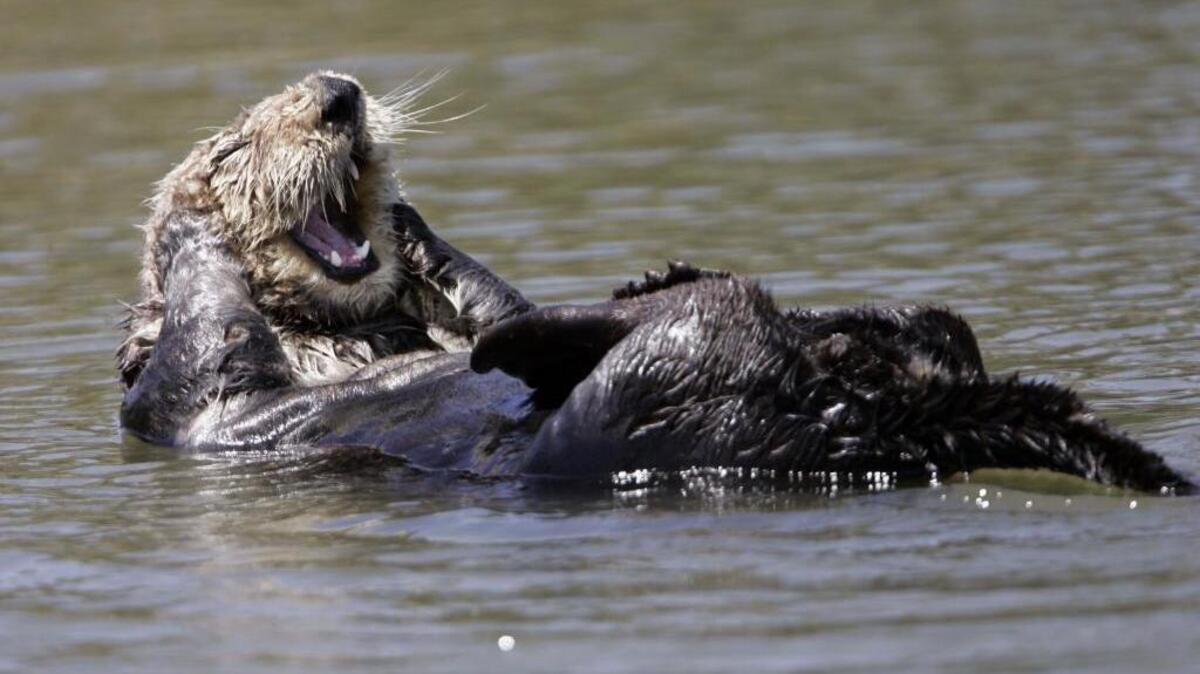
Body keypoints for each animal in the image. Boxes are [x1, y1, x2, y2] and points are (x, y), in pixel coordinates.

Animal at [117, 73, 1193, 494]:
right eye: (234, 145)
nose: (338, 97)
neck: (342, 338)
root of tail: (882, 416)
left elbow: (480, 296)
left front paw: (423, 237)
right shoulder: (182, 400)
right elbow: (202, 335)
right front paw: (188, 223)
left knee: (927, 321)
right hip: (647, 406)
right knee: (684, 329)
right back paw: (620, 306)